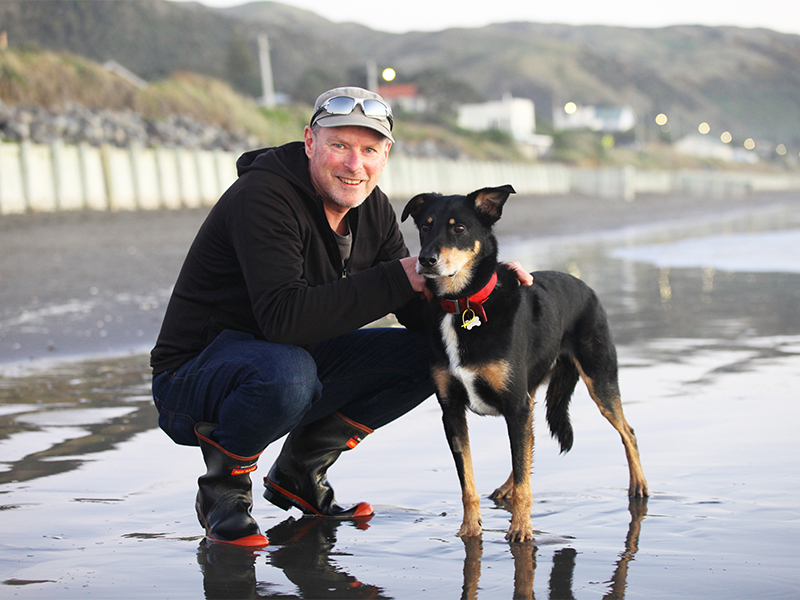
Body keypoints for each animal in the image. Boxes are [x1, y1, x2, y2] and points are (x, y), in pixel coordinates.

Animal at [400, 184, 648, 544]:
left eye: (458, 228)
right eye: (424, 227)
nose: (425, 261)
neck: (463, 305)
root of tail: (584, 284)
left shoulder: (515, 405)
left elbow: (521, 475)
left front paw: (521, 529)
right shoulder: (453, 412)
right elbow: (469, 482)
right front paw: (470, 529)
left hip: (599, 379)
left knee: (627, 431)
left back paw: (639, 485)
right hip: (533, 394)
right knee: (528, 449)